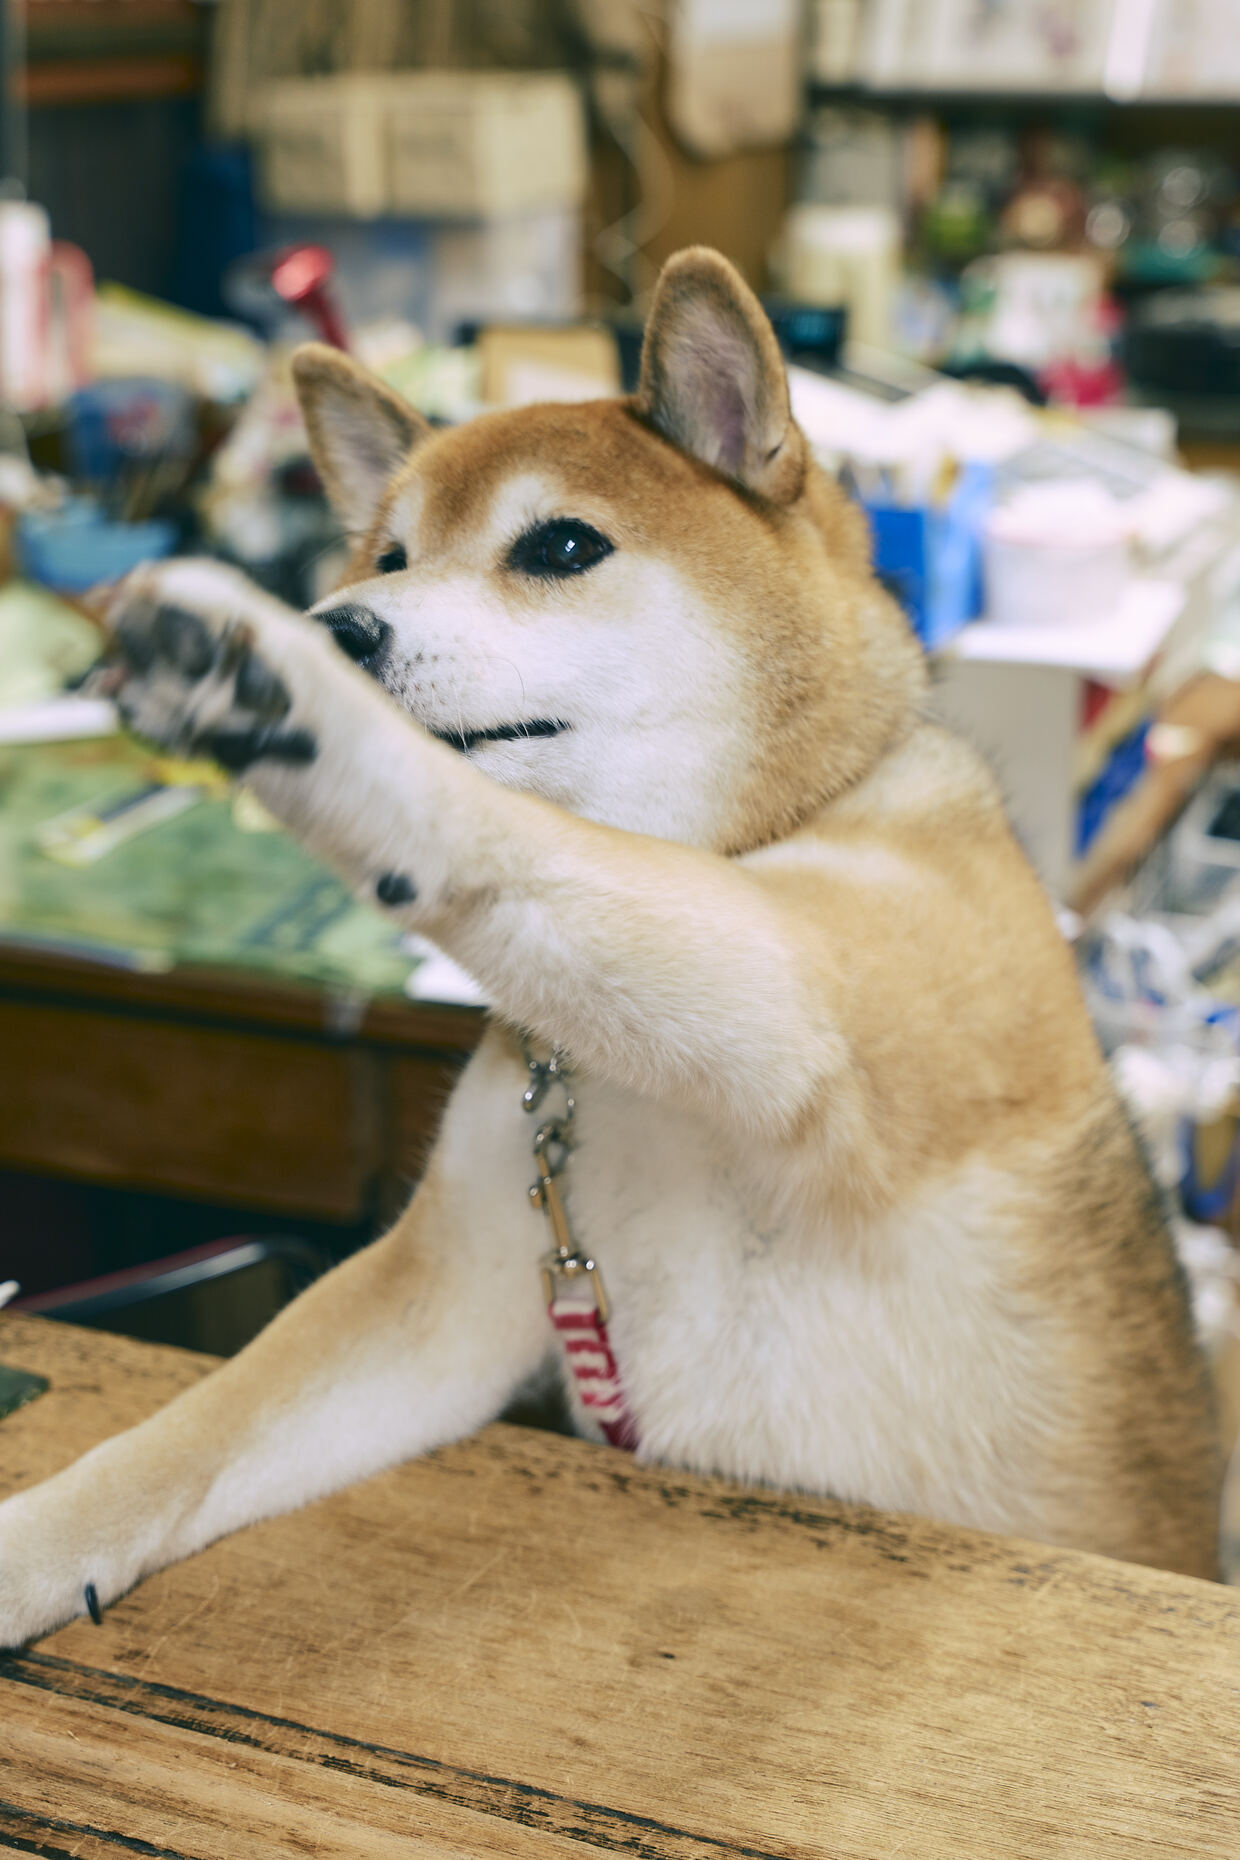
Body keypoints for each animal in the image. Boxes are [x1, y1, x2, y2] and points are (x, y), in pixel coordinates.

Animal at [0, 243, 1219, 1644]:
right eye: (388, 554)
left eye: (562, 546)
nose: (338, 623)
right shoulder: (450, 1290)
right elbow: (189, 1432)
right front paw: (32, 1542)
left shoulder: (796, 979)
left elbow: (507, 831)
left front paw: (270, 687)